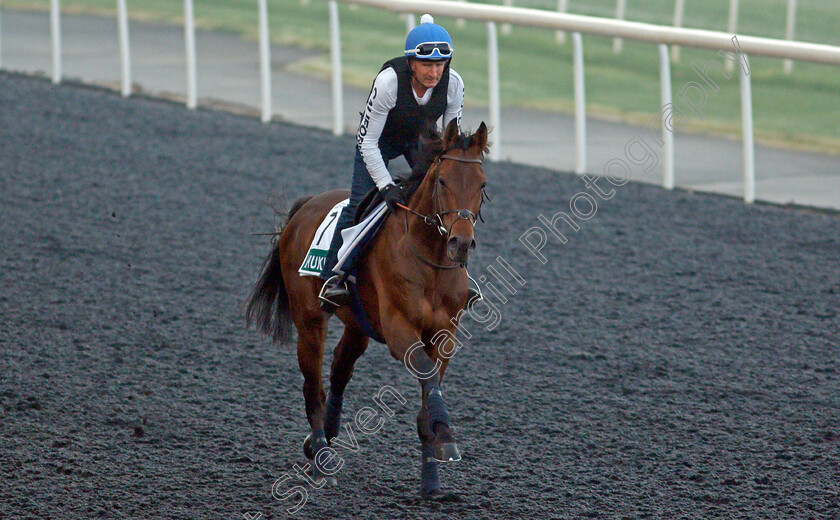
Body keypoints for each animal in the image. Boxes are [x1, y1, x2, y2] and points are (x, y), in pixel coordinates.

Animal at [246, 118, 488, 496]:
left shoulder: (446, 334)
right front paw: (446, 437)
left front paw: (432, 476)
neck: (430, 261)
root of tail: (305, 207)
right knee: (313, 387)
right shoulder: (399, 329)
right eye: (442, 180)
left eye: (482, 184)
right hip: (309, 320)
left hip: (357, 325)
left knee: (339, 371)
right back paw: (321, 460)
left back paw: (322, 441)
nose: (460, 243)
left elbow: (430, 389)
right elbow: (426, 373)